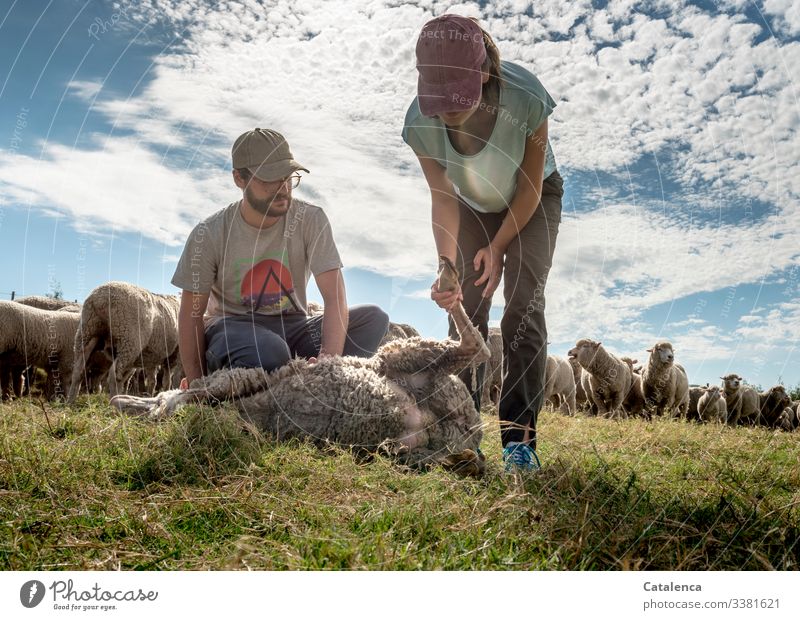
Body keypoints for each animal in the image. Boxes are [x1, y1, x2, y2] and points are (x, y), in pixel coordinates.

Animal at [110, 256, 490, 480]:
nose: (118, 402)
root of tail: (467, 427)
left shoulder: (242, 376)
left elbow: (182, 394)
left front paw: (144, 404)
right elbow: (182, 400)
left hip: (402, 358)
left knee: (477, 347)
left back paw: (448, 279)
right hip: (417, 424)